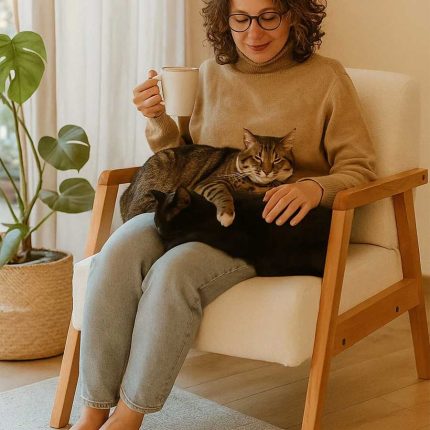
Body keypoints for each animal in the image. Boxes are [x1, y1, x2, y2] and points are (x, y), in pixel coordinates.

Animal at [120, 128, 295, 227]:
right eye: (258, 157)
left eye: (276, 159)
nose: (266, 171)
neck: (258, 185)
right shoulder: (210, 182)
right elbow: (223, 193)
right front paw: (226, 215)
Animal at [151, 186, 332, 277]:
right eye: (156, 222)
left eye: (164, 221)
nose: (160, 231)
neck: (208, 211)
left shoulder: (235, 237)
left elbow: (196, 234)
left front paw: (169, 244)